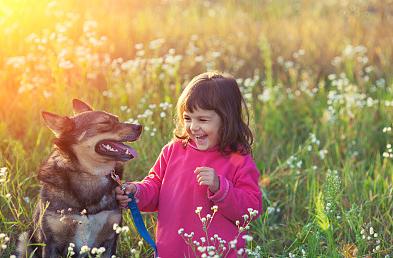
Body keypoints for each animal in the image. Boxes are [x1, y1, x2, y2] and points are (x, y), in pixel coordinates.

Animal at [15, 99, 142, 258]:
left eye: (117, 119)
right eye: (104, 122)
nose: (139, 127)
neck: (90, 174)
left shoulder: (109, 239)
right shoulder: (50, 242)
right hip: (24, 239)